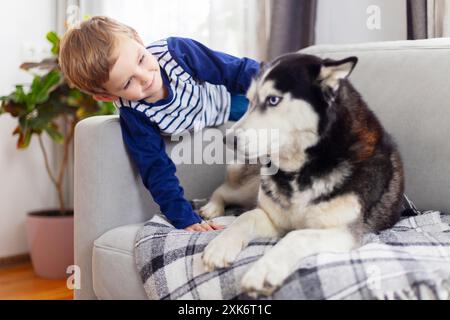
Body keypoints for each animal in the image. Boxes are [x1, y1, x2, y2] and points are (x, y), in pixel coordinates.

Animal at [200, 53, 404, 298]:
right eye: (249, 101)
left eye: (273, 100)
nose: (227, 140)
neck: (302, 169)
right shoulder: (274, 218)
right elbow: (245, 217)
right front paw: (220, 246)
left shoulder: (344, 233)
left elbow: (296, 236)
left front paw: (264, 270)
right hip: (252, 187)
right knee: (225, 191)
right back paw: (212, 207)